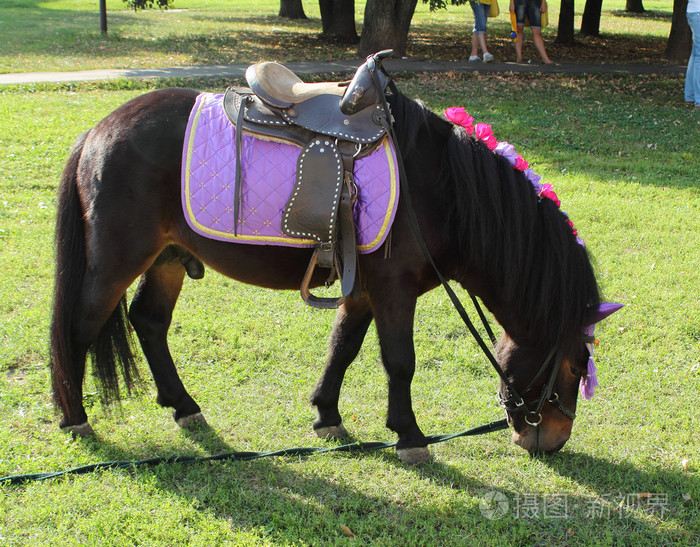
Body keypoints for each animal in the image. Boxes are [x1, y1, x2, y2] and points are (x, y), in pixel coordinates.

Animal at [50, 81, 609, 463]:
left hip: (167, 259)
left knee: (148, 321)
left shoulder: (363, 290)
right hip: (116, 261)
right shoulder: (395, 290)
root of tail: (96, 131)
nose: (552, 440)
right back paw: (74, 417)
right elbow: (399, 362)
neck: (440, 189)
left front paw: (327, 416)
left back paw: (182, 405)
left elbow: (344, 346)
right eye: (574, 369)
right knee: (78, 327)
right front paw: (409, 436)